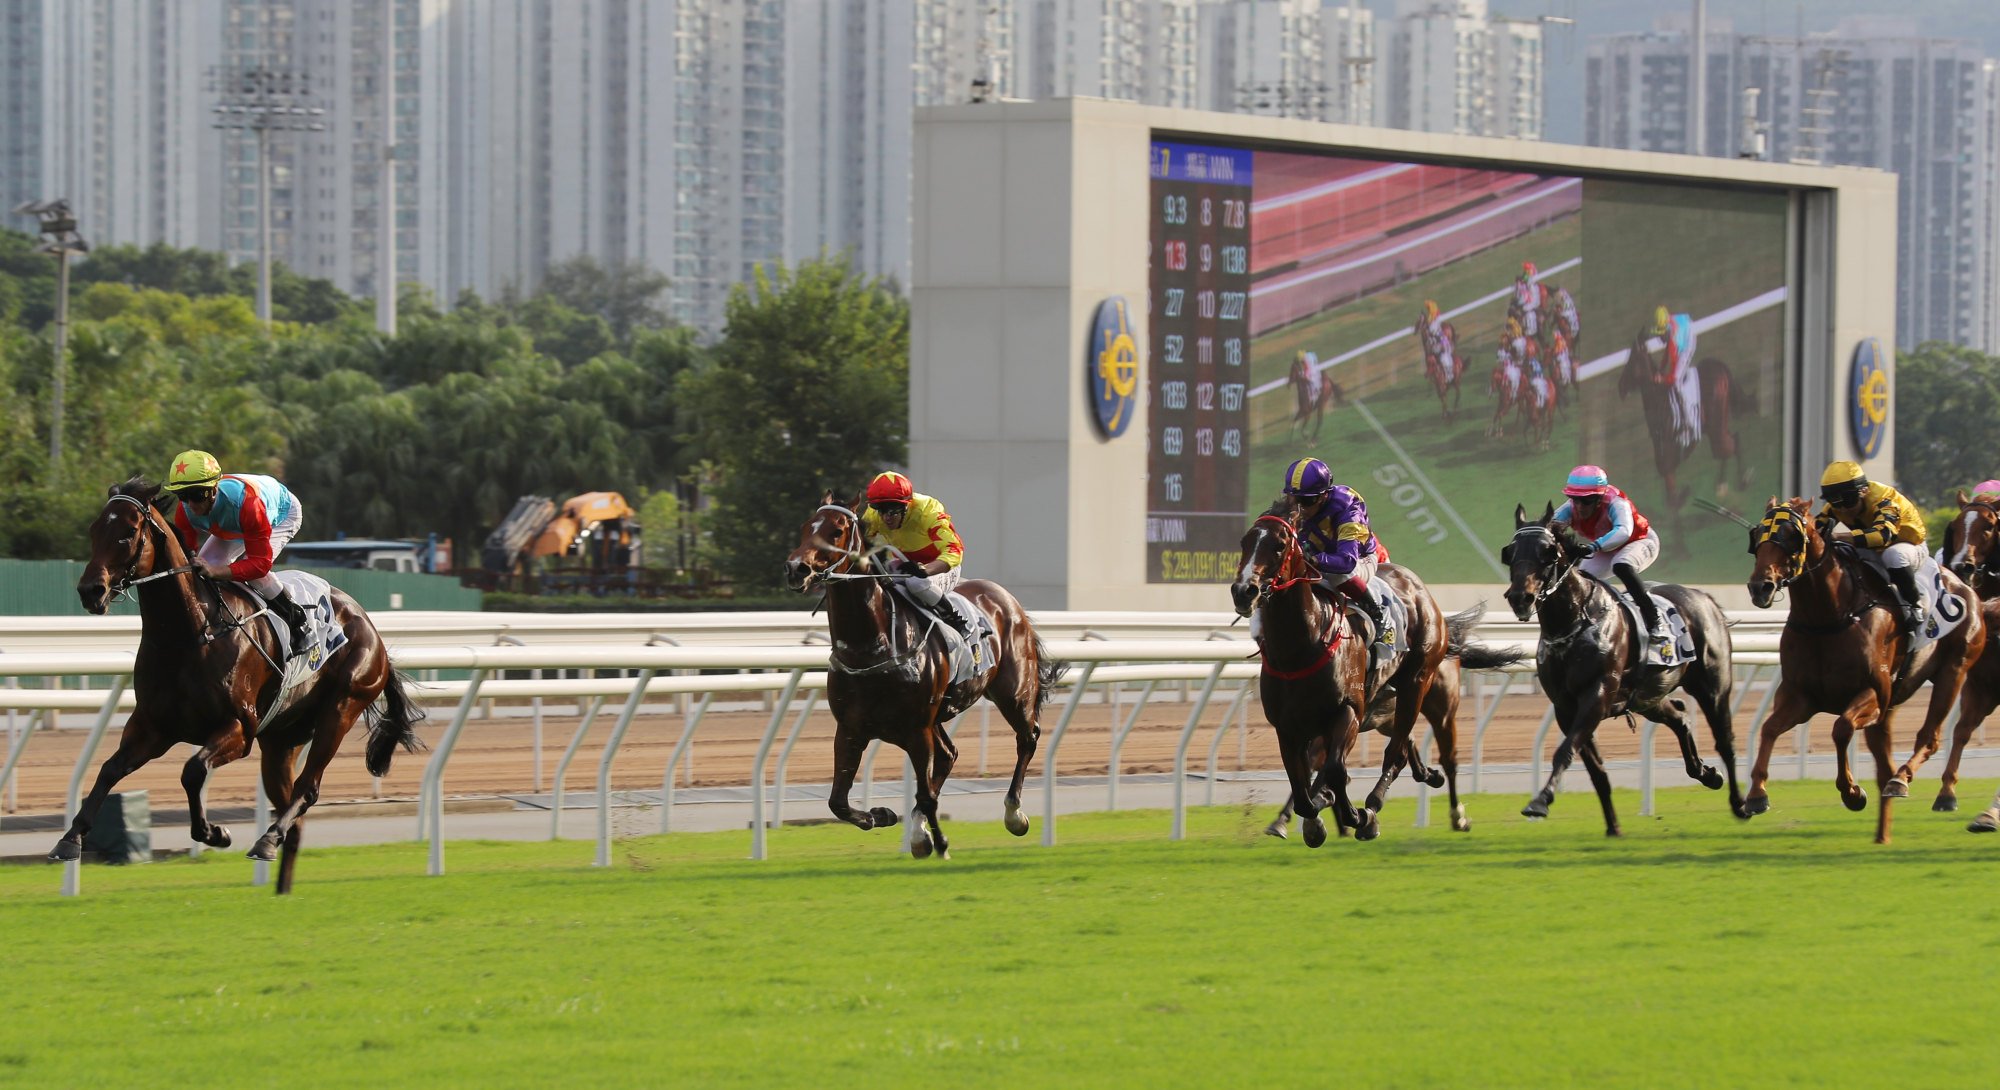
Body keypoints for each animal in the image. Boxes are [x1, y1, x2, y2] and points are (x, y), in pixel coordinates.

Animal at [66, 480, 424, 888]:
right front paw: (70, 838)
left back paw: (267, 839)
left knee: (308, 788)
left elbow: (193, 771)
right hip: (281, 739)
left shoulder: (238, 729)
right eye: (94, 530)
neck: (189, 634)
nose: (90, 590)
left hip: (342, 707)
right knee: (293, 816)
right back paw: (279, 875)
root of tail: (371, 629)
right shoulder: (153, 726)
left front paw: (213, 833)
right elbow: (110, 769)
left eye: (127, 532)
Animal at [780, 492, 1072, 860]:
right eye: (807, 527)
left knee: (1027, 738)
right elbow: (838, 802)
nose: (796, 568)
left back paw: (1013, 813)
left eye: (837, 530)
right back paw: (920, 833)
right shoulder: (850, 729)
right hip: (936, 718)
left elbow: (925, 794)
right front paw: (882, 815)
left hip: (1014, 693)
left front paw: (941, 842)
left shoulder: (917, 729)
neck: (873, 646)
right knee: (948, 756)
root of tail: (1008, 599)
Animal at [1216, 502, 1512, 840]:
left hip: (1424, 689)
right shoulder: (1287, 726)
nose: (1244, 591)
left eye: (1279, 545)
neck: (1300, 650)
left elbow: (1334, 771)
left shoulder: (1348, 712)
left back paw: (1434, 811)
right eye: (1244, 542)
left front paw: (1354, 815)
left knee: (1416, 753)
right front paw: (1310, 819)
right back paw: (1424, 777)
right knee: (1405, 743)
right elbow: (1302, 784)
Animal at [1504, 504, 1744, 832]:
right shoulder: (1565, 706)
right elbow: (1595, 770)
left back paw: (1743, 803)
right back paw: (1707, 773)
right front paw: (1613, 826)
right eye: (1510, 552)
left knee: (1726, 741)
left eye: (1548, 552)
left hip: (1713, 689)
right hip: (1648, 698)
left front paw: (1539, 802)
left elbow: (1565, 751)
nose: (1520, 597)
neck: (1573, 623)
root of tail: (1705, 598)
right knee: (1679, 717)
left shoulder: (1597, 695)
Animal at [1752, 498, 1984, 844]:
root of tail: (1961, 583)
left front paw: (1851, 792)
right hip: (1892, 703)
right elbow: (1768, 729)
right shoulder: (1800, 697)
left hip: (1953, 671)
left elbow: (1841, 728)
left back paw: (1910, 784)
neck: (1827, 617)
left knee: (1929, 739)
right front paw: (1756, 794)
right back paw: (1882, 833)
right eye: (1757, 535)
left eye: (1791, 535)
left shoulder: (1872, 693)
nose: (1760, 586)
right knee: (1884, 767)